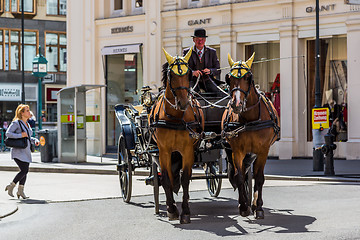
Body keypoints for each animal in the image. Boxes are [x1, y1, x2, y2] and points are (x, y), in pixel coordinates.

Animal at [149, 47, 204, 224]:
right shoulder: (164, 151)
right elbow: (166, 179)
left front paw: (185, 212)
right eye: (171, 76)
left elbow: (185, 178)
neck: (174, 118)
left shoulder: (187, 150)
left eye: (189, 74)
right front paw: (171, 209)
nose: (183, 102)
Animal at [221, 52, 280, 219]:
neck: (250, 119)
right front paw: (243, 206)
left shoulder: (263, 151)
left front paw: (258, 207)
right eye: (229, 78)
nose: (237, 104)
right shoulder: (237, 151)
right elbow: (239, 177)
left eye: (248, 77)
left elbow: (258, 178)